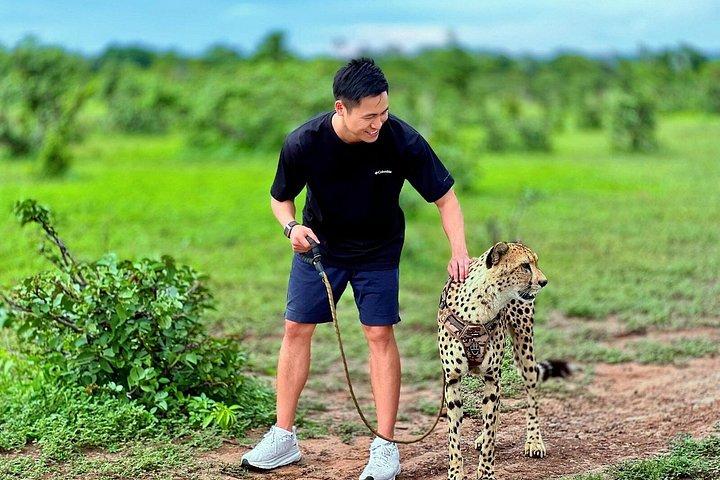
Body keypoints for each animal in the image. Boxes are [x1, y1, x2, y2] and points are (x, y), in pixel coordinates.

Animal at [437, 241, 571, 480]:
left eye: (535, 263)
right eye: (525, 266)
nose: (544, 281)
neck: (481, 305)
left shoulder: (492, 376)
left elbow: (491, 427)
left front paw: (486, 472)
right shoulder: (452, 380)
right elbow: (454, 433)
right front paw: (455, 472)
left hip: (524, 347)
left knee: (531, 394)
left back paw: (534, 441)